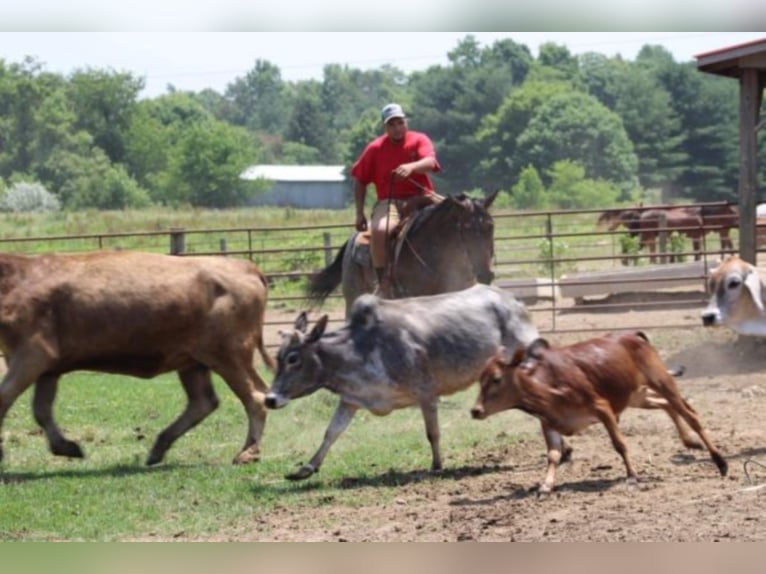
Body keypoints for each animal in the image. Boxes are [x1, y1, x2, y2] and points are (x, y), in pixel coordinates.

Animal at [0, 250, 274, 466]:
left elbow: (7, 398)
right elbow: (41, 409)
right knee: (203, 402)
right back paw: (158, 448)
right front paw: (68, 447)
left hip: (229, 357)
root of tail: (245, 266)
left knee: (255, 397)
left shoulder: (32, 356)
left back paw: (247, 453)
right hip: (193, 362)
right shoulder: (48, 367)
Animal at [268, 284, 544, 482]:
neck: (360, 348)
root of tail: (513, 301)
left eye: (293, 358)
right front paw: (307, 468)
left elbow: (432, 433)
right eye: (278, 356)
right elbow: (331, 432)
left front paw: (437, 466)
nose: (270, 399)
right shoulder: (350, 400)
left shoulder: (426, 393)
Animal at [472, 332, 728, 496]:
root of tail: (633, 336)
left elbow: (620, 444)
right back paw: (691, 442)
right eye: (480, 378)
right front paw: (545, 486)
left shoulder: (603, 408)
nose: (475, 410)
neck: (547, 386)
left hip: (662, 381)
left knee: (690, 415)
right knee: (667, 405)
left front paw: (632, 476)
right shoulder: (549, 422)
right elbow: (553, 455)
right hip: (637, 396)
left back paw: (720, 462)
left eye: (496, 379)